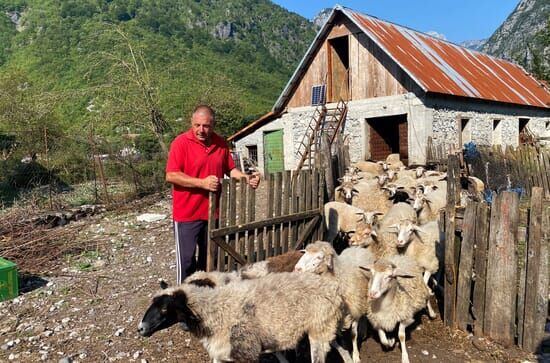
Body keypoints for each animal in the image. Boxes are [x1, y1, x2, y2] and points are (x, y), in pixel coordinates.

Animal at [141, 272, 350, 363]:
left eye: (165, 309)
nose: (140, 328)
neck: (216, 310)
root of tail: (334, 287)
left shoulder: (247, 352)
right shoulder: (222, 353)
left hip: (320, 328)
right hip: (327, 326)